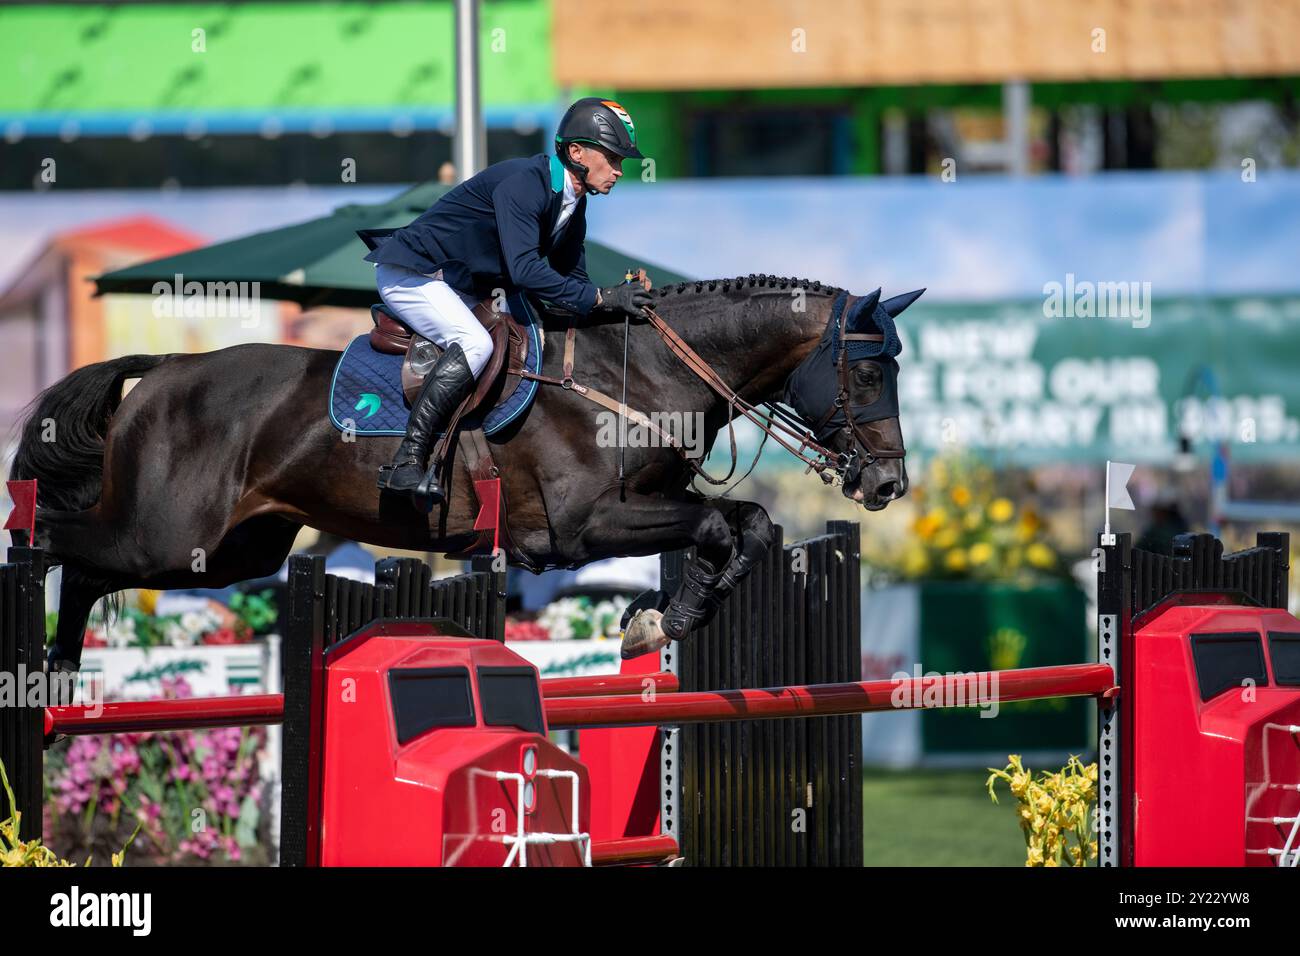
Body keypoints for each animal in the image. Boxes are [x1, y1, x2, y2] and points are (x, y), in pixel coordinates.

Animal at [15, 273, 920, 671]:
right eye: (870, 372)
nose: (887, 487)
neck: (646, 371)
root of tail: (164, 369)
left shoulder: (650, 500)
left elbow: (748, 526)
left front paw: (664, 614)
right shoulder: (579, 529)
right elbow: (711, 525)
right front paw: (661, 621)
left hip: (235, 552)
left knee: (91, 566)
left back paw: (61, 669)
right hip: (167, 535)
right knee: (63, 543)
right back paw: (43, 657)